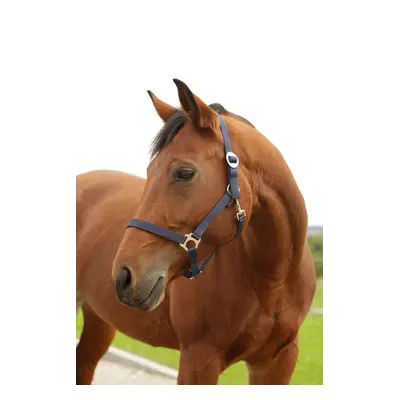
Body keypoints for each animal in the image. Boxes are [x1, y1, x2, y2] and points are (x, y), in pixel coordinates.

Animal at [76, 79, 316, 385]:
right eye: (149, 170)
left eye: (184, 173)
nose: (124, 276)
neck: (272, 281)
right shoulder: (198, 360)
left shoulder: (278, 363)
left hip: (100, 319)